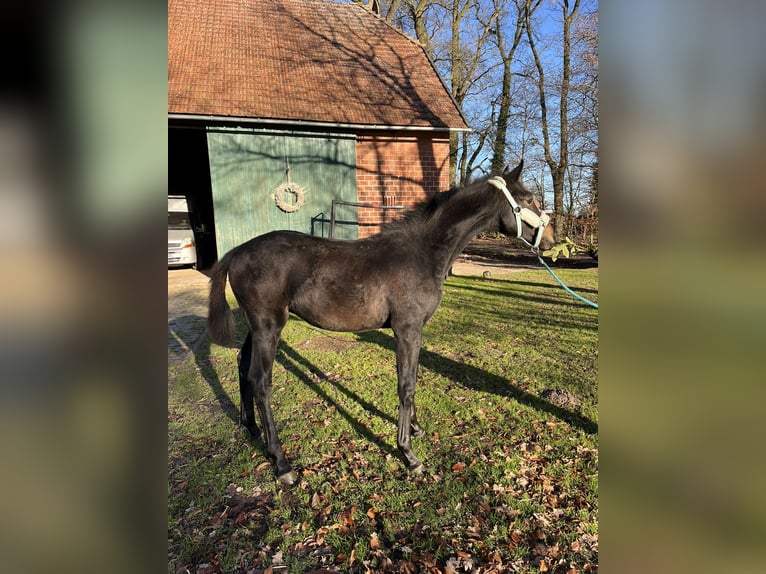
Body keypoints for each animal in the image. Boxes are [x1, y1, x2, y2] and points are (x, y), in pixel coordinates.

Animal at [207, 162, 556, 486]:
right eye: (529, 198)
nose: (551, 241)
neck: (422, 253)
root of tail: (237, 252)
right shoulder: (407, 330)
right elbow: (406, 384)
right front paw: (408, 454)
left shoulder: (413, 332)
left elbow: (413, 379)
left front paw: (414, 428)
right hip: (269, 326)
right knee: (261, 381)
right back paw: (281, 463)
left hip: (256, 328)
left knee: (243, 366)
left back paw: (251, 428)